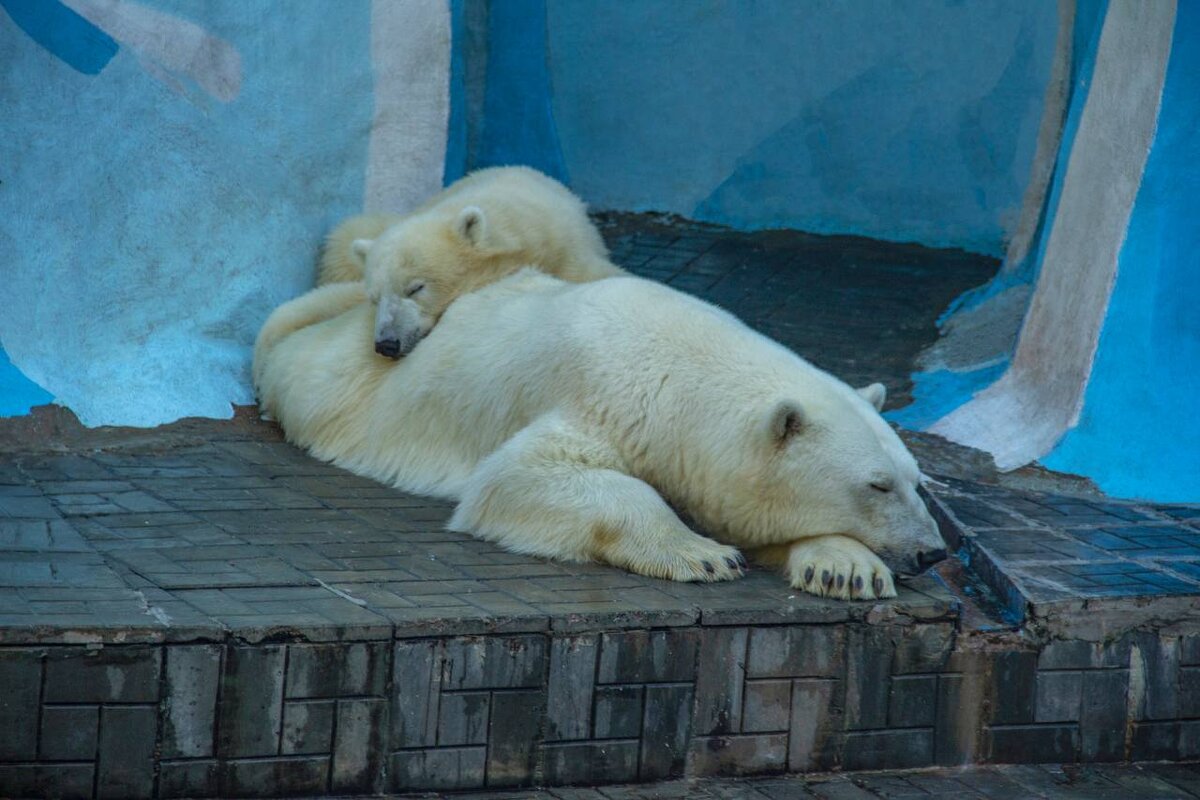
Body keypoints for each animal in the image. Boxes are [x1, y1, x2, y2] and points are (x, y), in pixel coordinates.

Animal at [255, 268, 945, 599]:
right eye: (877, 485)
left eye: (917, 481)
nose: (934, 551)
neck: (680, 370)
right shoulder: (601, 398)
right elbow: (519, 476)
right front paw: (702, 554)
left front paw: (845, 569)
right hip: (345, 383)